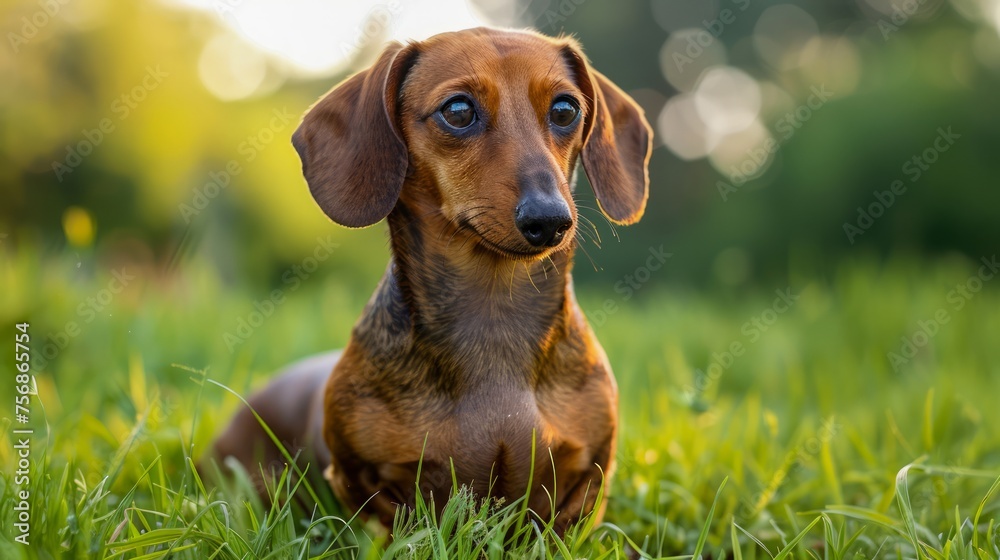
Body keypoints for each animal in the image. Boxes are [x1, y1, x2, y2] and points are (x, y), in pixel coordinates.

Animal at [207, 26, 652, 532]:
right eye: (458, 111)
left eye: (565, 110)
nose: (550, 219)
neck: (493, 315)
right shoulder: (359, 480)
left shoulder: (589, 481)